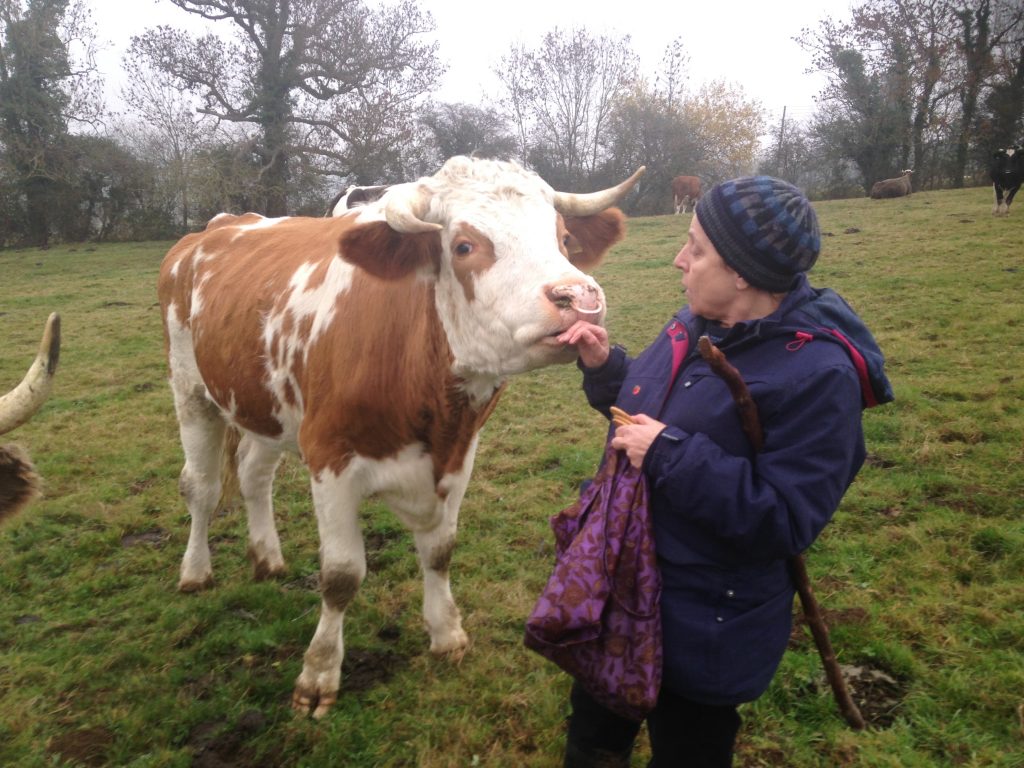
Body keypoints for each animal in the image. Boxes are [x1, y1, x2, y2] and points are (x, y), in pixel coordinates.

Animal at [156, 153, 643, 720]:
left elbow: (440, 551)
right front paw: (319, 674)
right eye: (464, 246)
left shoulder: (458, 456)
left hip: (267, 408)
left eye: (563, 238)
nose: (580, 295)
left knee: (254, 474)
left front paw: (447, 634)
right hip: (191, 389)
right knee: (202, 487)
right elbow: (341, 574)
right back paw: (196, 571)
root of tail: (218, 226)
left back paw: (267, 558)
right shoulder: (329, 457)